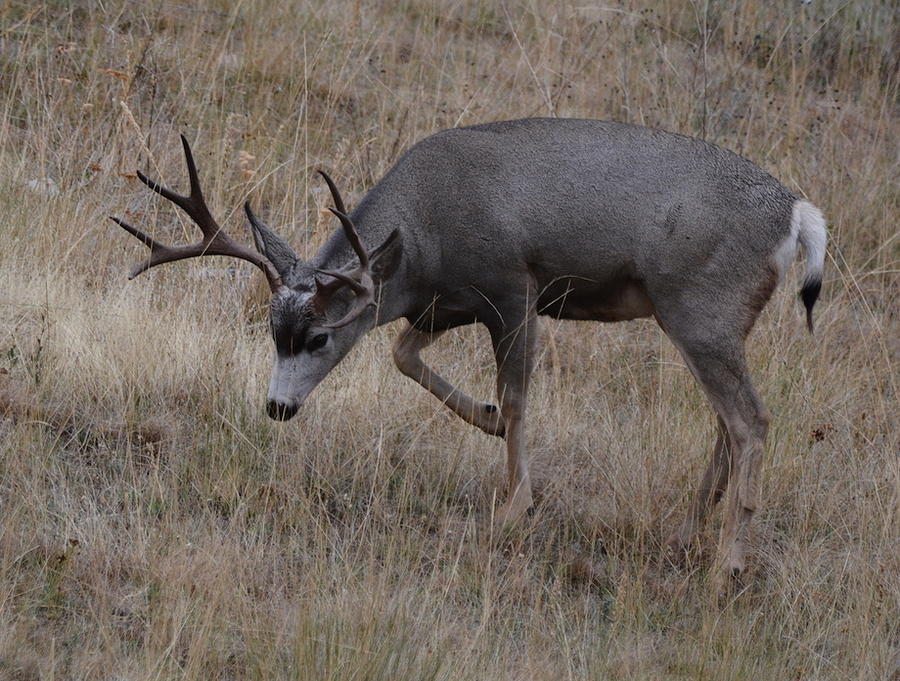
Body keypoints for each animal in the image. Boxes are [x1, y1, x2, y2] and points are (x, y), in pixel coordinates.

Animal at [109, 119, 828, 580]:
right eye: (269, 330)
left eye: (317, 336)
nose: (277, 407)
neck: (427, 236)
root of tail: (798, 214)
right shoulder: (445, 302)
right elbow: (404, 355)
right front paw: (482, 419)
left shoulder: (515, 287)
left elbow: (517, 397)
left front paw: (515, 505)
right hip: (710, 321)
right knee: (726, 421)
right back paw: (686, 536)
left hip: (699, 308)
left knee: (750, 418)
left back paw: (729, 563)